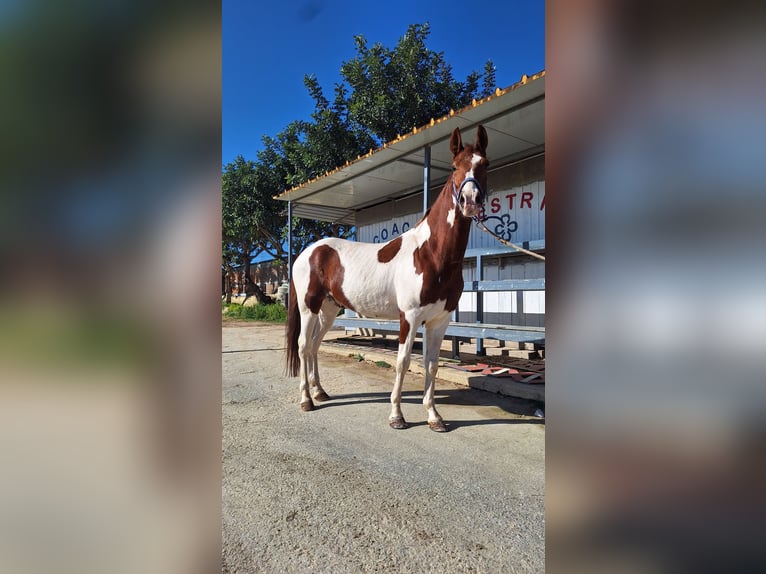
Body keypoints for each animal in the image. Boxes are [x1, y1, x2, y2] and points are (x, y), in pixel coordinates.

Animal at [285, 125, 489, 431]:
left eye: (484, 164)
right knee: (302, 346)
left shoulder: (439, 320)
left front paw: (434, 417)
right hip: (308, 306)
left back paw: (320, 392)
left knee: (314, 346)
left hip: (329, 309)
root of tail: (308, 251)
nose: (470, 202)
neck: (430, 254)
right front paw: (397, 416)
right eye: (455, 166)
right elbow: (403, 362)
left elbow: (431, 365)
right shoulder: (410, 317)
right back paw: (306, 400)